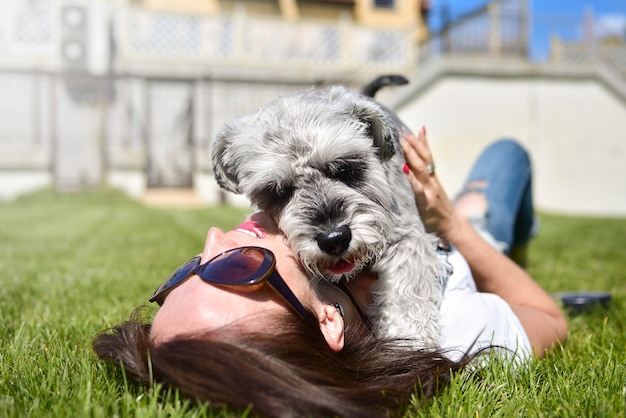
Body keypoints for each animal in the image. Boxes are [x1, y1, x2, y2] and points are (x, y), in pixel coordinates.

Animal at [212, 80, 446, 348]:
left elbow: (407, 290)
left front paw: (411, 338)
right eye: (277, 191)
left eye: (346, 169)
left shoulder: (408, 237)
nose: (334, 240)